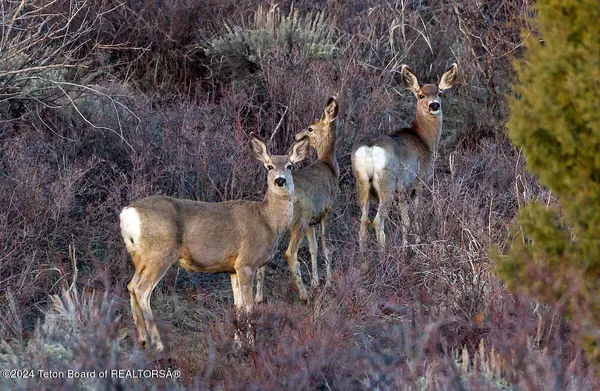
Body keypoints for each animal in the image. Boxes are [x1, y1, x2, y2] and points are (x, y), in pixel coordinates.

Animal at [120, 135, 312, 352]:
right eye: (269, 166)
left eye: (290, 166)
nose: (280, 180)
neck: (267, 221)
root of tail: (127, 213)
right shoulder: (246, 263)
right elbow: (249, 307)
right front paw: (250, 345)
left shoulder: (232, 268)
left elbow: (238, 307)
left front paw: (237, 344)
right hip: (159, 254)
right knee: (142, 290)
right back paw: (159, 344)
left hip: (139, 256)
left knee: (131, 285)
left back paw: (143, 341)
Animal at [254, 97, 340, 304]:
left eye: (310, 128)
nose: (295, 136)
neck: (330, 166)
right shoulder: (327, 211)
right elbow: (326, 247)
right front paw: (328, 283)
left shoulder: (311, 221)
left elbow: (313, 248)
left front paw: (316, 282)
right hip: (298, 222)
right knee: (290, 253)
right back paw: (303, 295)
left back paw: (258, 298)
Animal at [352, 62, 460, 250]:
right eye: (421, 95)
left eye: (440, 93)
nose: (434, 105)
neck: (424, 140)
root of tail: (370, 148)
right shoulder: (419, 180)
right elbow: (414, 216)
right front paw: (414, 244)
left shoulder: (401, 189)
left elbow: (405, 220)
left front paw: (407, 244)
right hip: (386, 182)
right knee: (377, 221)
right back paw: (383, 253)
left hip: (362, 182)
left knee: (364, 220)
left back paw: (362, 254)